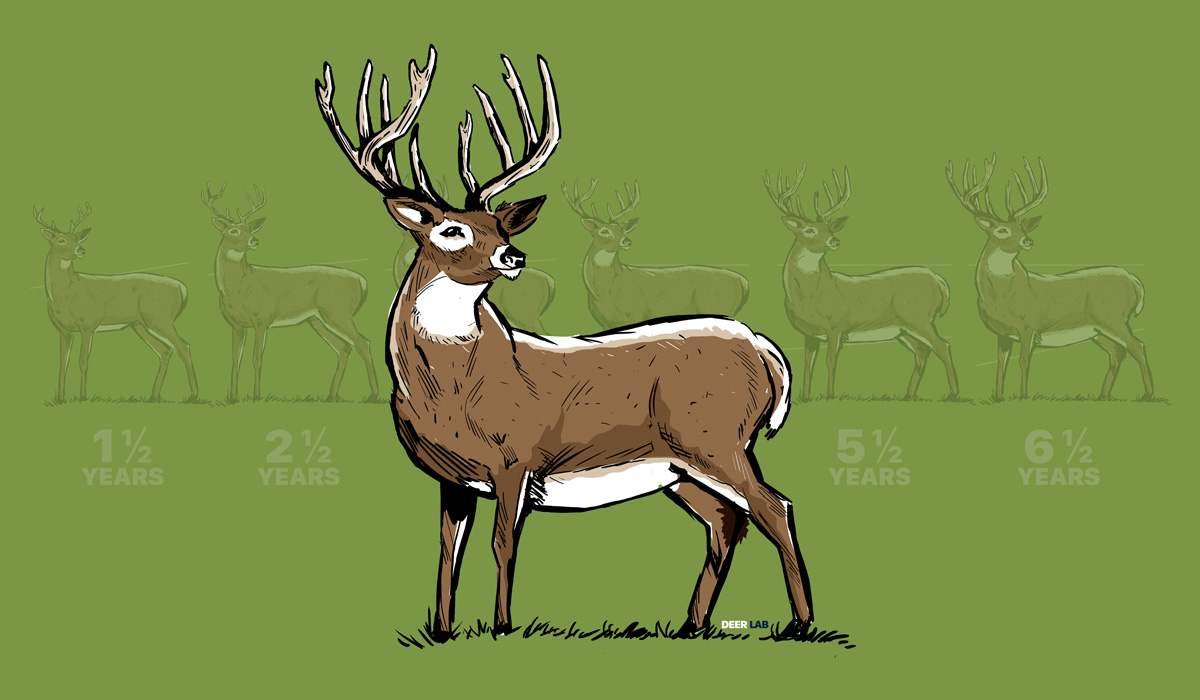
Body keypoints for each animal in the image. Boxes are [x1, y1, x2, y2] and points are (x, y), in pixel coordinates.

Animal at [38, 203, 199, 402]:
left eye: (76, 238)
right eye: (61, 240)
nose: (80, 250)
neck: (65, 295)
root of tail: (182, 289)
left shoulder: (88, 324)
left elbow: (83, 362)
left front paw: (83, 397)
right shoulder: (64, 330)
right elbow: (62, 363)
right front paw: (60, 398)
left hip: (159, 318)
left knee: (183, 347)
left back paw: (193, 395)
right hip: (141, 324)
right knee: (165, 351)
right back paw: (153, 396)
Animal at [202, 184, 380, 402]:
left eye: (250, 229)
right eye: (234, 230)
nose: (254, 241)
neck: (238, 289)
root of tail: (362, 282)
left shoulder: (262, 319)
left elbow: (256, 358)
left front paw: (256, 396)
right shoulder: (236, 325)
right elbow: (235, 360)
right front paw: (233, 397)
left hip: (338, 312)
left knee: (363, 342)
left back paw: (373, 394)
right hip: (317, 319)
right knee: (344, 348)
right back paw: (332, 395)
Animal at [563, 179, 750, 330]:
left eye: (622, 229)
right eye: (604, 231)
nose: (627, 241)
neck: (605, 292)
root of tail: (745, 284)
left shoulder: (635, 312)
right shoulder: (605, 322)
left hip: (716, 305)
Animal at [764, 166, 959, 400]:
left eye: (830, 229)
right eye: (809, 230)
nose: (834, 241)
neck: (810, 298)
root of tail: (939, 280)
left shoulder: (836, 325)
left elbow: (830, 361)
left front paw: (830, 396)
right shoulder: (809, 334)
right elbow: (807, 364)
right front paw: (806, 397)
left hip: (919, 317)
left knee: (943, 345)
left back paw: (953, 394)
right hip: (903, 329)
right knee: (923, 351)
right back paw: (908, 395)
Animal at [946, 154, 1153, 400]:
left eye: (1022, 228)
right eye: (1002, 230)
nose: (1028, 240)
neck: (1002, 298)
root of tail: (1134, 280)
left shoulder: (1030, 325)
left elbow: (1024, 362)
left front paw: (1023, 396)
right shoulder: (1003, 334)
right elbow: (1000, 365)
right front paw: (998, 397)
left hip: (1114, 317)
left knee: (1137, 346)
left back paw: (1148, 394)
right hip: (1098, 329)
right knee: (1118, 352)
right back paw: (1103, 395)